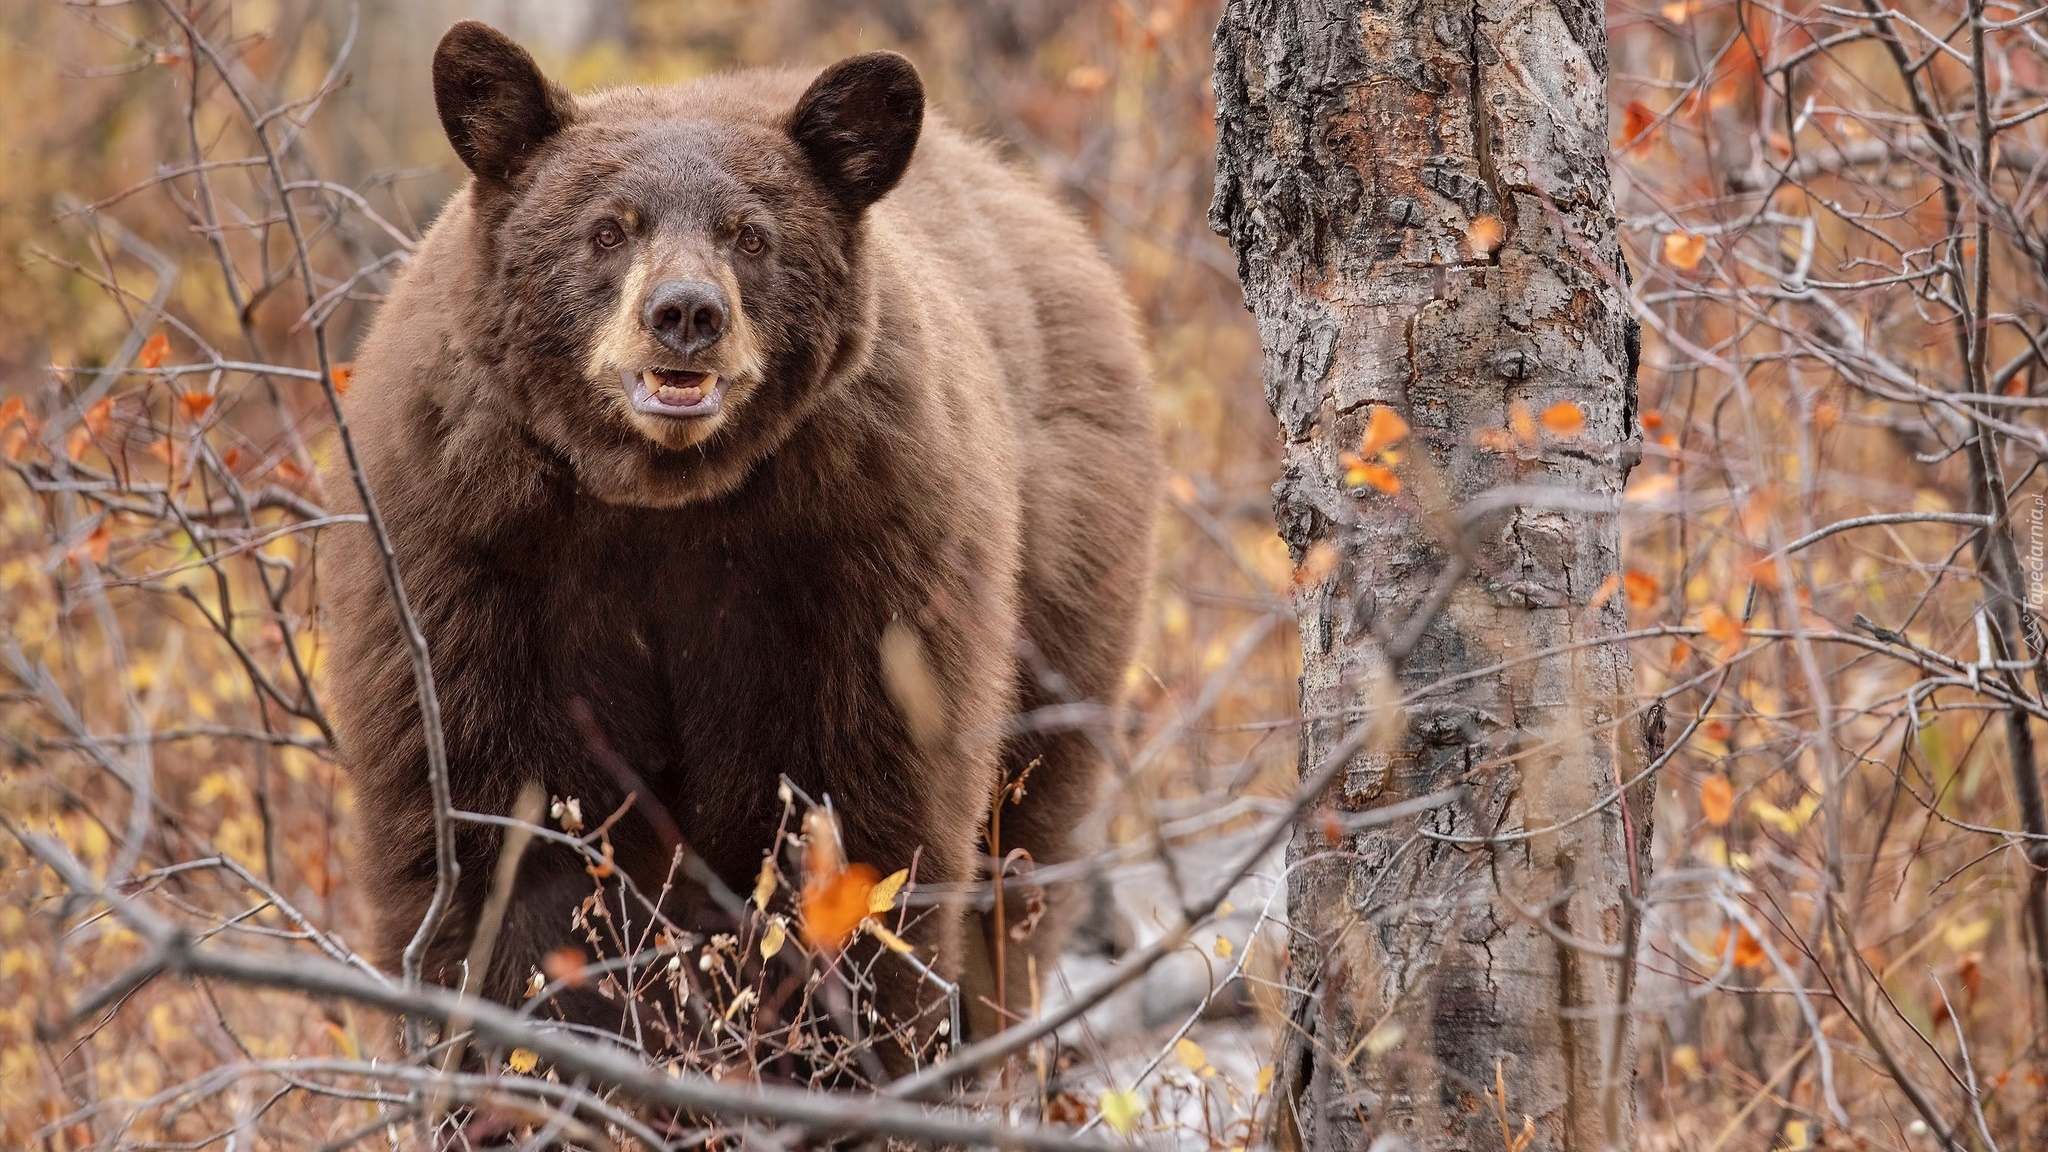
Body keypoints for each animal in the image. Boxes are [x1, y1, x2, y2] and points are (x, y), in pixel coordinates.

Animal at [319, 17, 1155, 1065]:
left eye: (751, 235)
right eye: (609, 228)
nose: (685, 314)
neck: (662, 501)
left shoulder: (862, 557)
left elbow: (867, 829)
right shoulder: (469, 555)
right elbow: (493, 840)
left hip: (1066, 594)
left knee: (1019, 873)